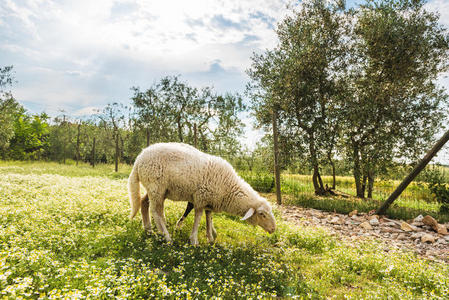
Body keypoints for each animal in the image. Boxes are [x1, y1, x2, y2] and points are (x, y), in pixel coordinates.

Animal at [127, 142, 276, 245]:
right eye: (262, 214)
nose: (274, 229)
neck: (228, 187)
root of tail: (139, 159)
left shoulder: (210, 200)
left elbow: (209, 217)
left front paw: (210, 238)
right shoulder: (200, 198)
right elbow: (198, 217)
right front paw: (194, 240)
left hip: (156, 189)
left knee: (144, 203)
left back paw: (149, 230)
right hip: (156, 187)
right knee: (155, 211)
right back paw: (167, 237)